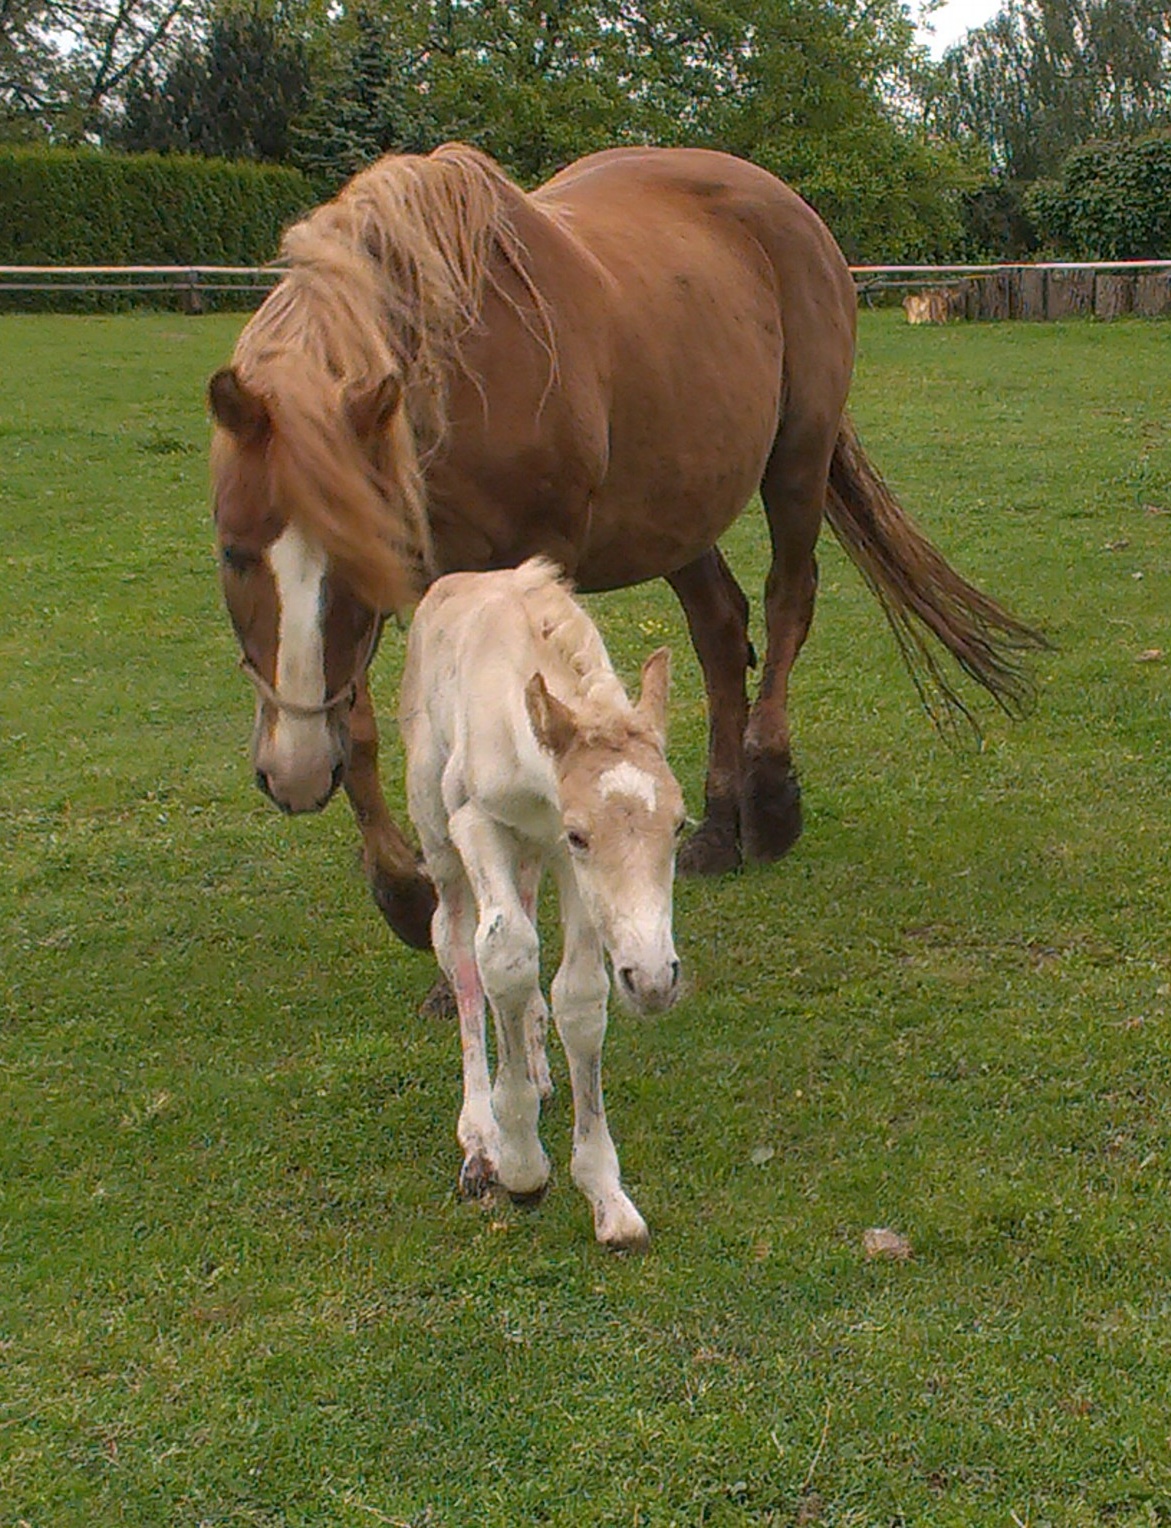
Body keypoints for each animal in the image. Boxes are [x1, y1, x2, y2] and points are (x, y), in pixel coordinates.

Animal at [210, 145, 1045, 953]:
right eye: (231, 553)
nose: (293, 772)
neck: (459, 377)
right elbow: (364, 727)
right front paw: (410, 899)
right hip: (677, 507)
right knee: (719, 630)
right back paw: (717, 826)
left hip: (796, 462)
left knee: (786, 603)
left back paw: (770, 802)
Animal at [403, 556, 687, 1246]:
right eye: (584, 834)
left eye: (679, 826)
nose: (657, 979)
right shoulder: (483, 824)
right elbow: (503, 956)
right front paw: (521, 1165)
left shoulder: (560, 858)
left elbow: (579, 995)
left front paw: (606, 1196)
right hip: (437, 829)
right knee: (458, 947)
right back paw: (480, 1136)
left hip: (528, 856)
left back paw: (534, 1067)